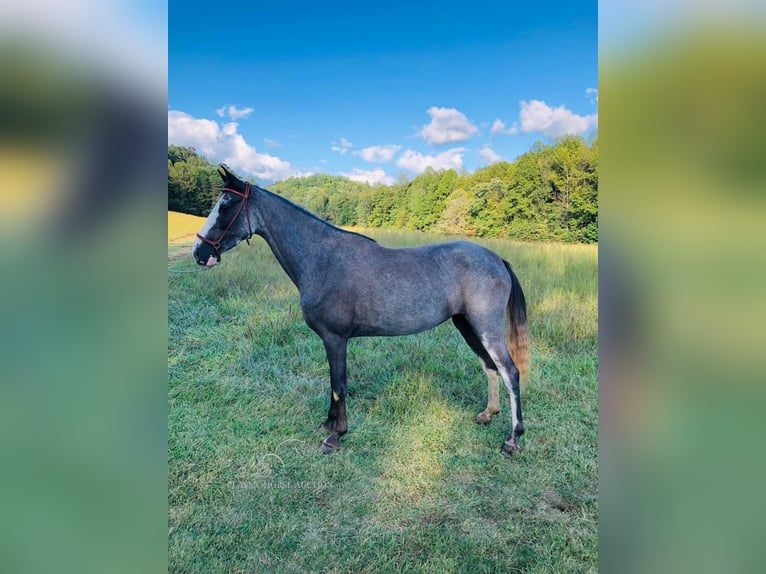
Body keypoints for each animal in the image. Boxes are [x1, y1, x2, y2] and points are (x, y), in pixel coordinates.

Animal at [192, 166, 532, 460]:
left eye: (226, 205)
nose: (200, 253)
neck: (321, 259)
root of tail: (497, 259)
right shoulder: (332, 340)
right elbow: (334, 384)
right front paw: (328, 425)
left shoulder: (335, 338)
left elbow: (339, 385)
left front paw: (336, 436)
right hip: (467, 325)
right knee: (489, 366)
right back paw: (488, 414)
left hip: (486, 327)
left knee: (509, 371)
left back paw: (513, 439)